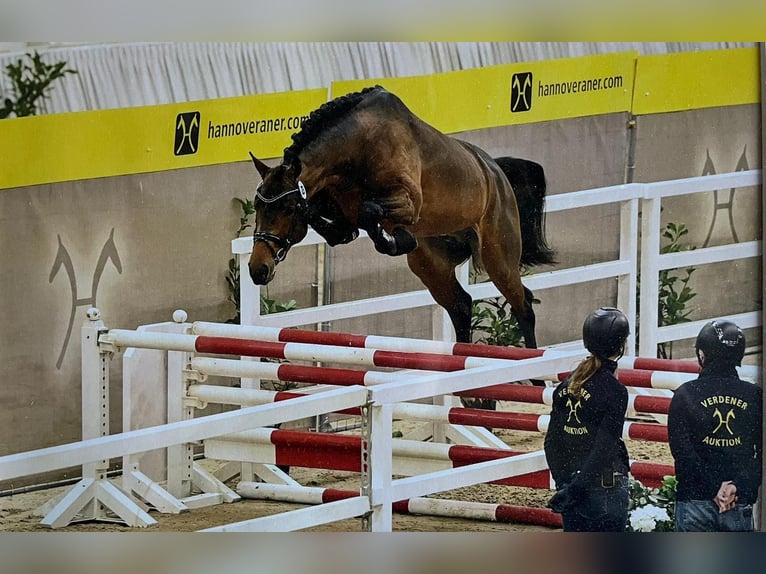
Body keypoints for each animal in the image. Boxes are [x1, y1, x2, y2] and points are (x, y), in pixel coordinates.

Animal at [246, 85, 555, 372]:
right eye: (258, 206)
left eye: (287, 209)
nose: (257, 269)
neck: (358, 146)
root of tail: (496, 172)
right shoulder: (340, 212)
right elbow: (340, 226)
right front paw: (394, 237)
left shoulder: (408, 202)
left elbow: (370, 212)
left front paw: (397, 239)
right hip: (432, 266)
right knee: (462, 306)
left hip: (498, 254)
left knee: (523, 304)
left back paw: (534, 372)